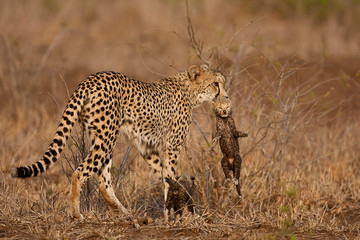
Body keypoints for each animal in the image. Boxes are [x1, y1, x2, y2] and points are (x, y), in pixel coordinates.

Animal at [13, 63, 228, 219]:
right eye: (215, 84)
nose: (225, 96)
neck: (188, 90)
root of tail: (90, 80)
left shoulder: (148, 149)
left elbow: (167, 177)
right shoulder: (172, 147)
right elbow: (171, 176)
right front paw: (174, 214)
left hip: (101, 136)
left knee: (103, 182)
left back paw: (123, 212)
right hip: (106, 137)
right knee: (79, 172)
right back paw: (76, 213)